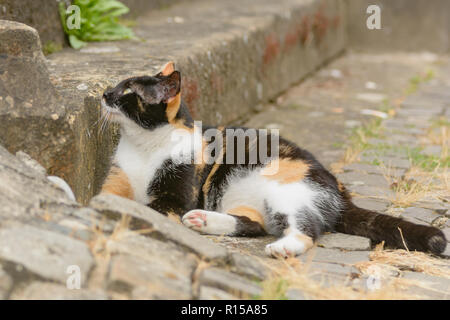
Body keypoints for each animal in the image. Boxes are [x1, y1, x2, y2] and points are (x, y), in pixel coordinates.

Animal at [99, 62, 446, 258]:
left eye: (128, 91)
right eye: (118, 84)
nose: (103, 93)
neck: (145, 145)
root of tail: (340, 191)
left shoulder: (176, 195)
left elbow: (152, 207)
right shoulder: (116, 180)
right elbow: (106, 196)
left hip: (289, 191)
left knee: (305, 229)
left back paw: (282, 247)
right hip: (239, 195)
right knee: (254, 223)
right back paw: (204, 220)